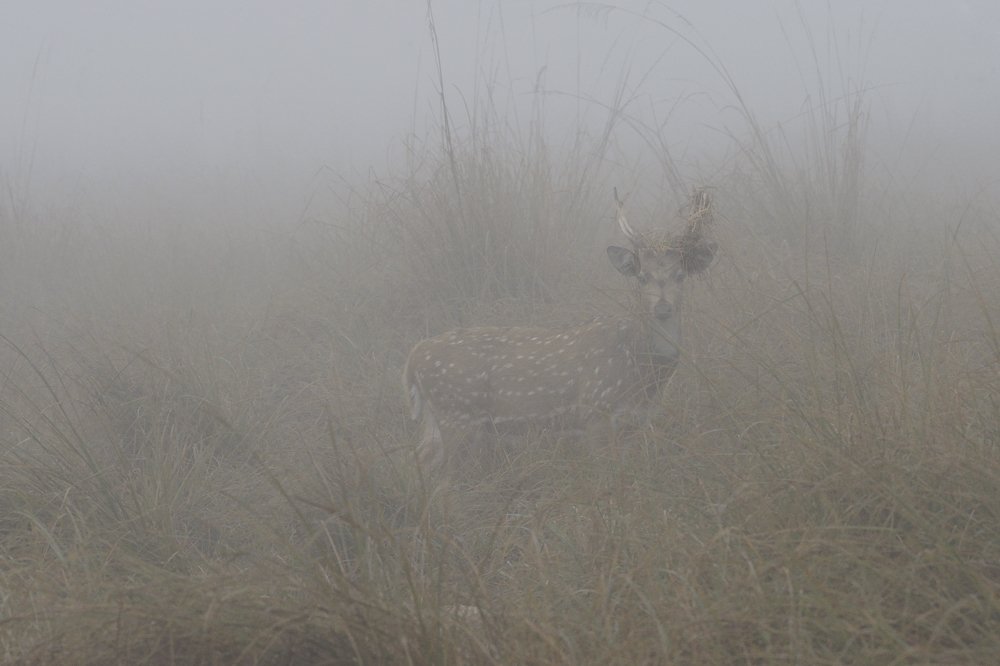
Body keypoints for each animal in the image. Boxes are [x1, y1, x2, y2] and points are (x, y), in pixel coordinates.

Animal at [402, 189, 717, 468]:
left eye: (680, 275)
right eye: (642, 277)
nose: (662, 308)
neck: (642, 367)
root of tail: (413, 359)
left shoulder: (634, 422)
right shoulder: (595, 413)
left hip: (438, 422)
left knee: (423, 462)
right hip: (457, 416)